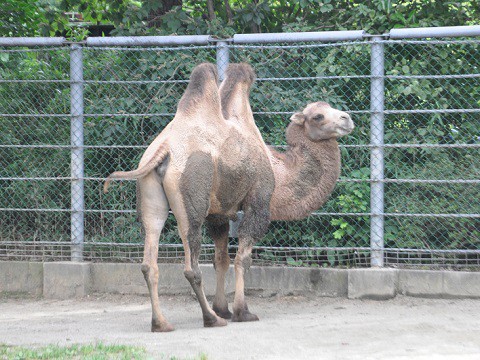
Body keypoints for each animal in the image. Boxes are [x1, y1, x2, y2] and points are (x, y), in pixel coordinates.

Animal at [104, 62, 352, 332]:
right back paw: (211, 319)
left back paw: (162, 323)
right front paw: (242, 311)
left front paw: (223, 307)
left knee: (150, 258)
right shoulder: (258, 202)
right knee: (191, 264)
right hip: (191, 196)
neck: (279, 169)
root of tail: (164, 150)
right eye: (318, 116)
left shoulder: (218, 214)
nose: (347, 118)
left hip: (149, 193)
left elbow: (220, 260)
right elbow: (242, 258)